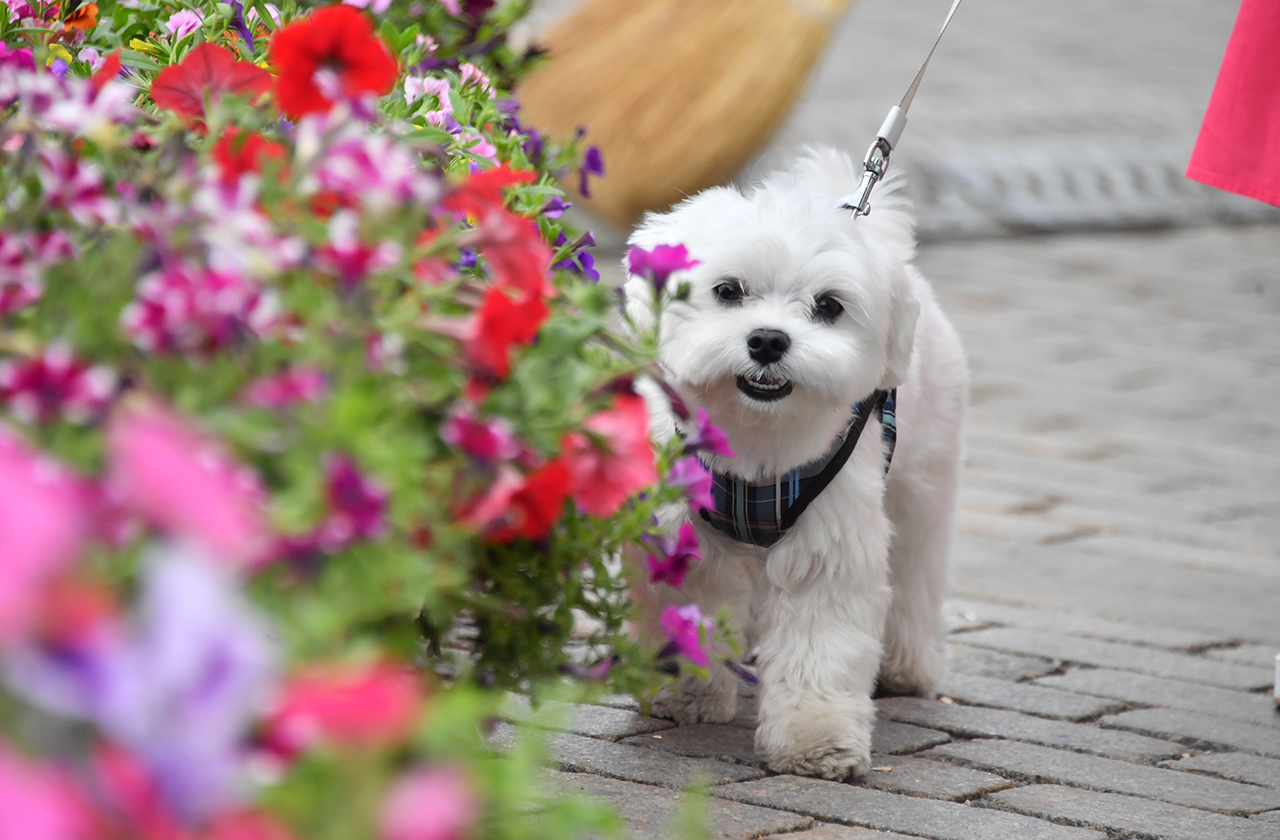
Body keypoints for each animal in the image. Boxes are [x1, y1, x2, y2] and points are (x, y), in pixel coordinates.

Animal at [622, 145, 967, 778]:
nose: (768, 340)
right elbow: (691, 610)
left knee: (916, 570)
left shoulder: (828, 546)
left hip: (923, 482)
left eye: (828, 306)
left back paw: (907, 666)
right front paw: (685, 694)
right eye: (728, 290)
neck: (757, 443)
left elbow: (818, 647)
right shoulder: (685, 539)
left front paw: (816, 740)